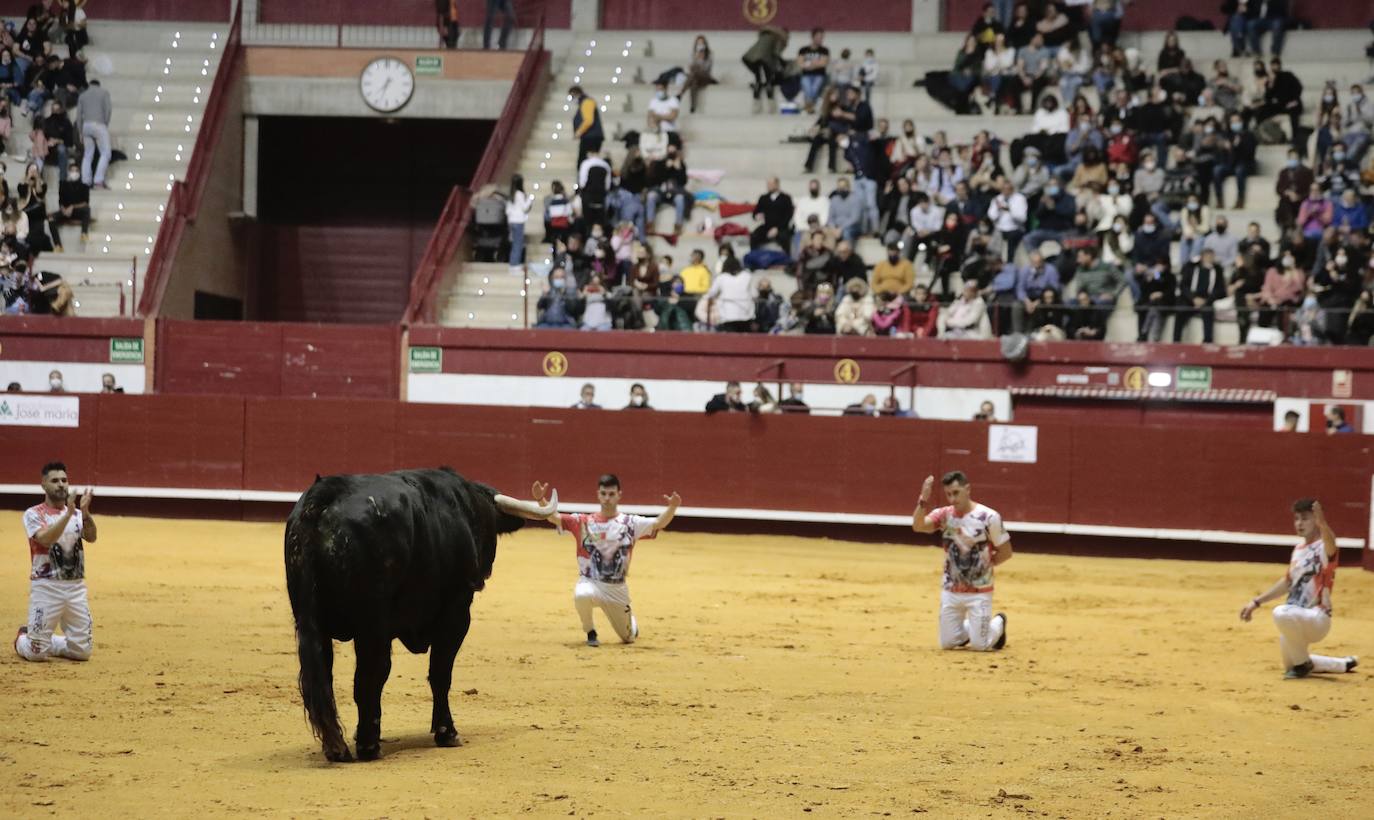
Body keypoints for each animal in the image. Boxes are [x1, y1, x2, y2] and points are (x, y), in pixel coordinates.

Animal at [283, 467, 552, 763]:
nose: (483, 574)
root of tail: (324, 495)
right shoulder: (457, 613)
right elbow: (440, 672)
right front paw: (446, 732)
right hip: (373, 623)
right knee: (370, 675)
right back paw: (368, 745)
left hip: (310, 622)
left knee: (323, 677)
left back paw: (337, 747)